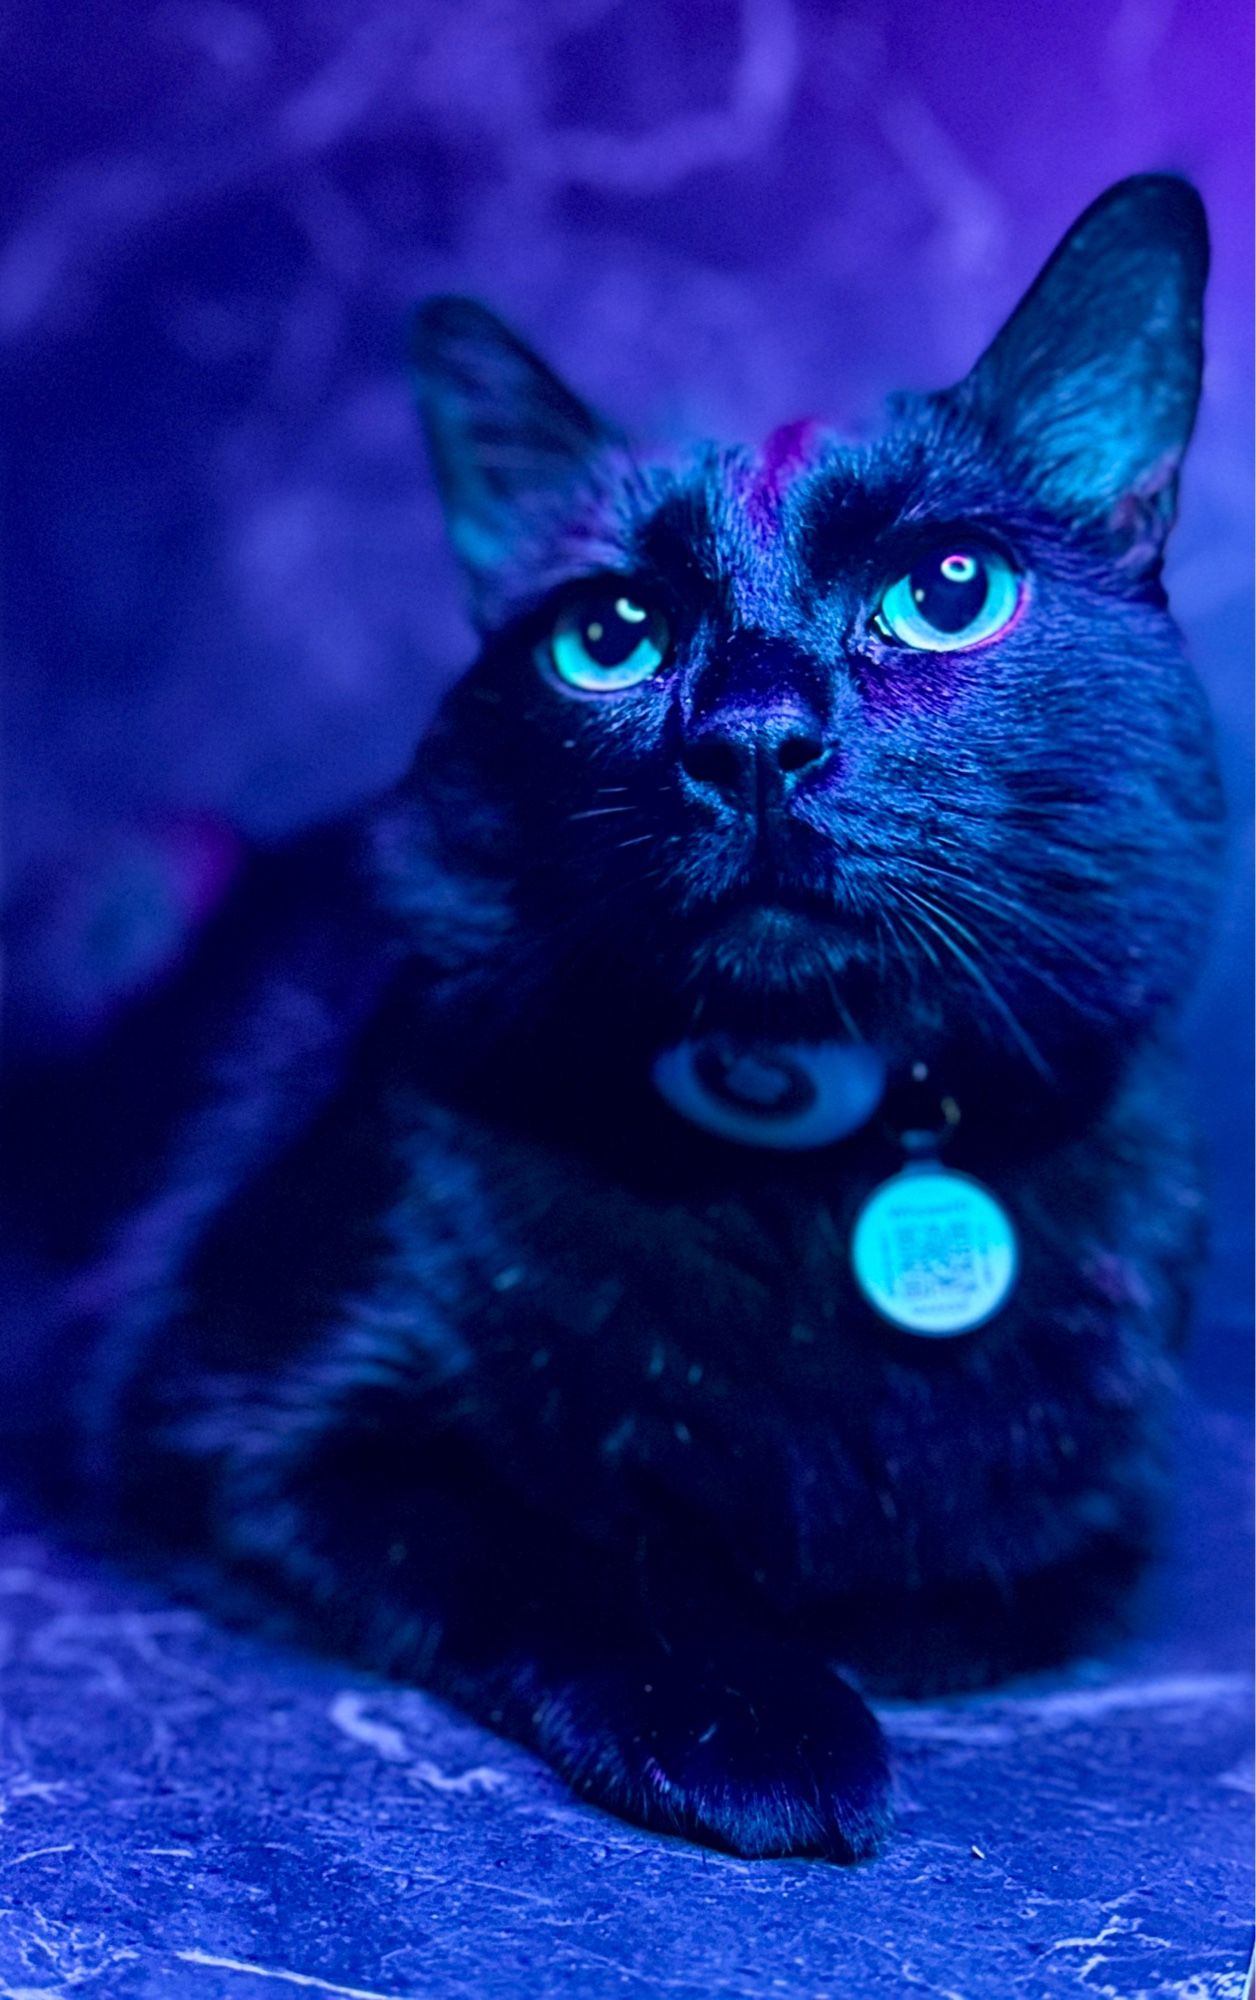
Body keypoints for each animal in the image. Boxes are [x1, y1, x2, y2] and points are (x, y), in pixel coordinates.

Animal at [7, 172, 1224, 1856]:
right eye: (611, 636)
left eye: (948, 592)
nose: (754, 737)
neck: (812, 1161)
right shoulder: (235, 1403)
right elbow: (578, 1549)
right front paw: (759, 1713)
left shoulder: (1101, 1500)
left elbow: (989, 1569)